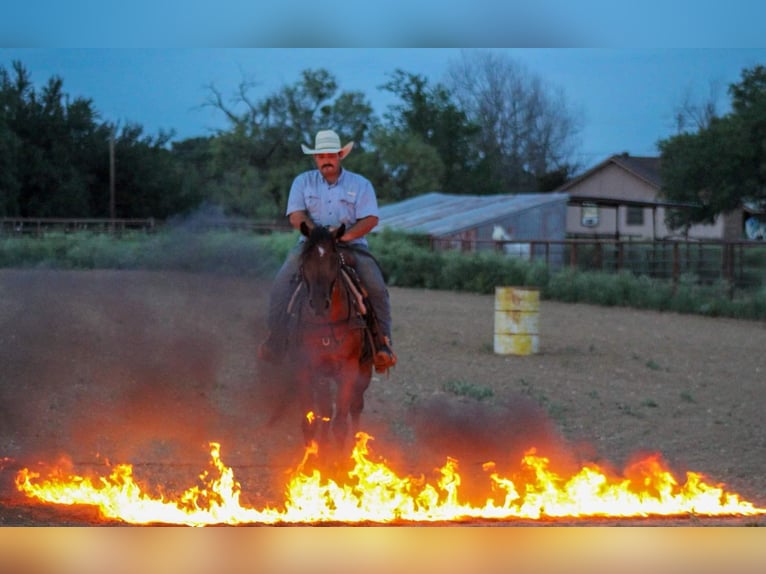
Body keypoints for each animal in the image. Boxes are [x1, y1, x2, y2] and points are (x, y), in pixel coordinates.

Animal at [284, 223, 376, 452]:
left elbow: (341, 424)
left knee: (355, 407)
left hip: (364, 370)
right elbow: (310, 421)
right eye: (305, 259)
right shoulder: (306, 367)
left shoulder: (349, 369)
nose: (318, 304)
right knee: (326, 410)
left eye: (335, 259)